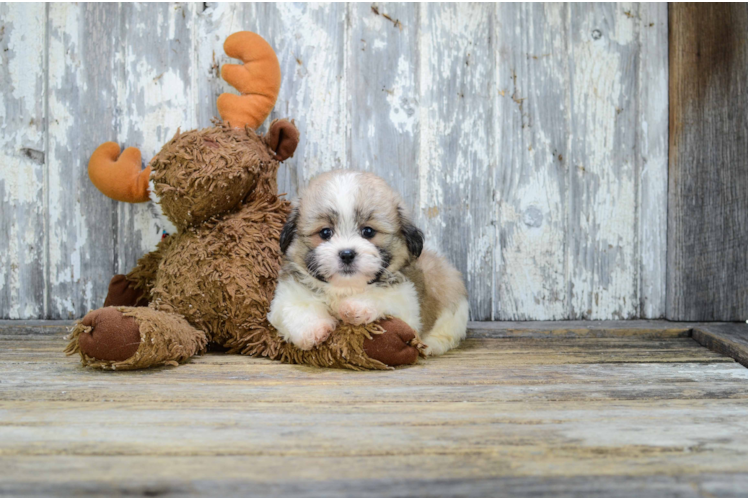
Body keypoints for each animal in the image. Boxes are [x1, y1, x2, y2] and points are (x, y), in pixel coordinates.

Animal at [268, 171, 468, 356]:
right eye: (325, 232)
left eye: (368, 231)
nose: (347, 254)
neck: (344, 288)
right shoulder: (287, 295)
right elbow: (296, 308)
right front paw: (313, 331)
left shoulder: (406, 300)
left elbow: (381, 295)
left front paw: (355, 307)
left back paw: (432, 344)